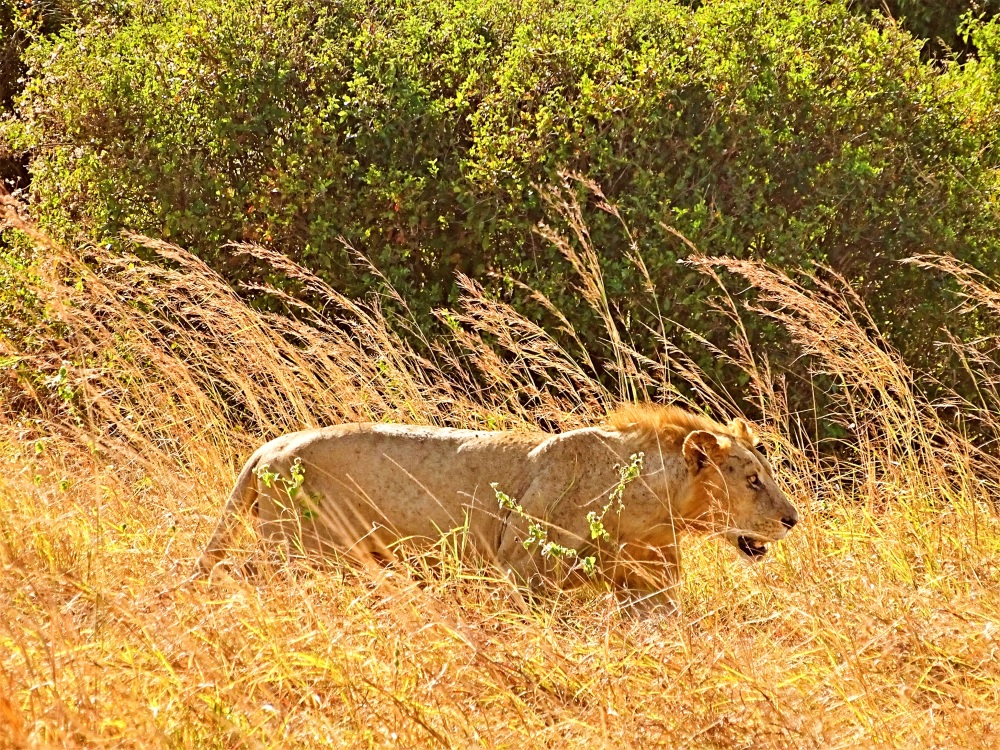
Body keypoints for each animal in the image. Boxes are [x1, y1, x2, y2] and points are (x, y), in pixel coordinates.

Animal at [199, 406, 800, 604]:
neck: (652, 506)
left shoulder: (651, 583)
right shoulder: (521, 568)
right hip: (302, 552)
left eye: (766, 475)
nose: (792, 520)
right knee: (239, 570)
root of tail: (269, 447)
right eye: (752, 480)